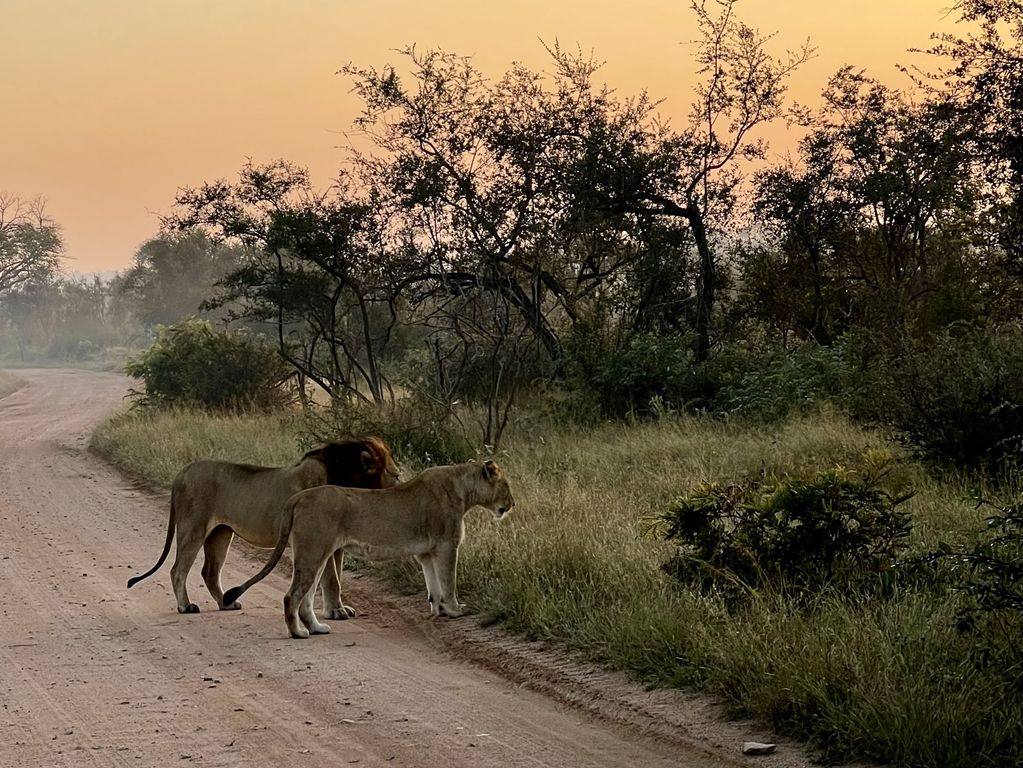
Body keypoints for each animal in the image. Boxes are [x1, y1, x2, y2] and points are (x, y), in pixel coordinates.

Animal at [124, 437, 398, 617]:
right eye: (393, 474)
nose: (401, 481)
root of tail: (182, 472)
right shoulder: (321, 539)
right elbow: (332, 579)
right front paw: (337, 612)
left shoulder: (335, 544)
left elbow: (337, 579)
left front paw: (338, 608)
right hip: (194, 528)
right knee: (178, 569)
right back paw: (185, 607)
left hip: (220, 534)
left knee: (209, 572)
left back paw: (227, 603)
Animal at [223, 460, 511, 638]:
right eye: (506, 486)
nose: (513, 504)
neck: (463, 487)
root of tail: (298, 497)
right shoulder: (447, 545)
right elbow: (448, 582)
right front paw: (455, 610)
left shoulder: (427, 552)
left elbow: (434, 586)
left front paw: (439, 610)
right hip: (313, 552)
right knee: (291, 596)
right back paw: (298, 633)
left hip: (316, 554)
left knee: (305, 598)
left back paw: (317, 628)